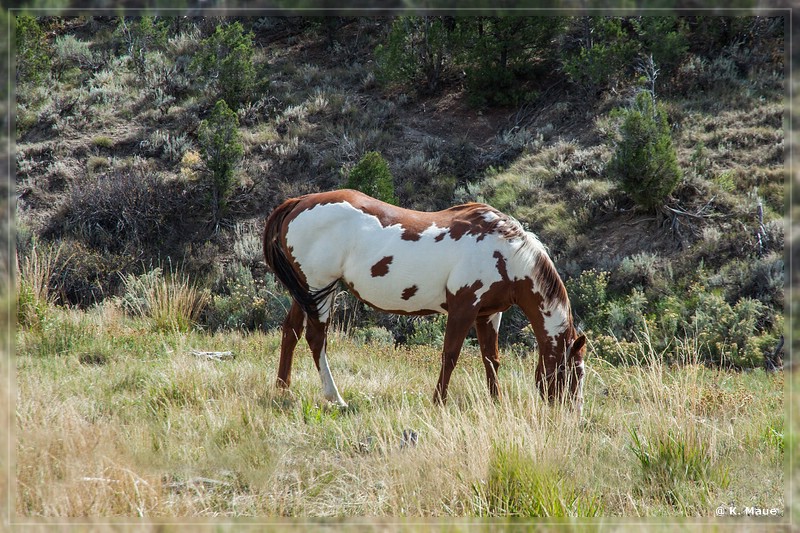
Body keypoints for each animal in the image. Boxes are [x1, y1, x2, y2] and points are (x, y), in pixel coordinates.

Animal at [262, 190, 588, 412]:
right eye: (573, 373)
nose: (572, 413)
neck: (506, 253)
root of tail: (299, 202)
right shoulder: (463, 308)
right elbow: (450, 356)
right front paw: (438, 401)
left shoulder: (488, 313)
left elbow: (491, 358)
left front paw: (496, 400)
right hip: (321, 287)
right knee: (317, 338)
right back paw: (336, 398)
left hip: (305, 291)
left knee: (291, 332)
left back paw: (282, 390)